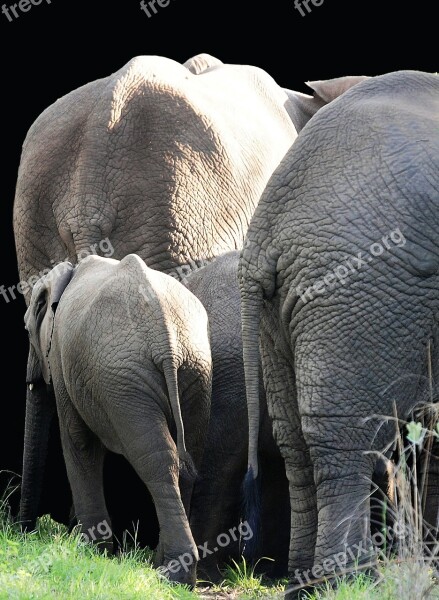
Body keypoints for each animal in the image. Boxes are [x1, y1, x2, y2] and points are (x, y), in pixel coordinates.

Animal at [24, 254, 213, 584]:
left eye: (27, 331)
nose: (22, 532)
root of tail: (166, 339)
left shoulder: (61, 355)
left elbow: (78, 441)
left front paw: (89, 551)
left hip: (124, 378)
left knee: (158, 459)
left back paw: (173, 573)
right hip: (194, 370)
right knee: (189, 459)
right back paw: (166, 567)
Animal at [239, 70, 439, 596]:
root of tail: (267, 229)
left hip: (282, 312)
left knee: (293, 440)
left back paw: (302, 581)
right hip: (357, 290)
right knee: (343, 437)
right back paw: (351, 580)